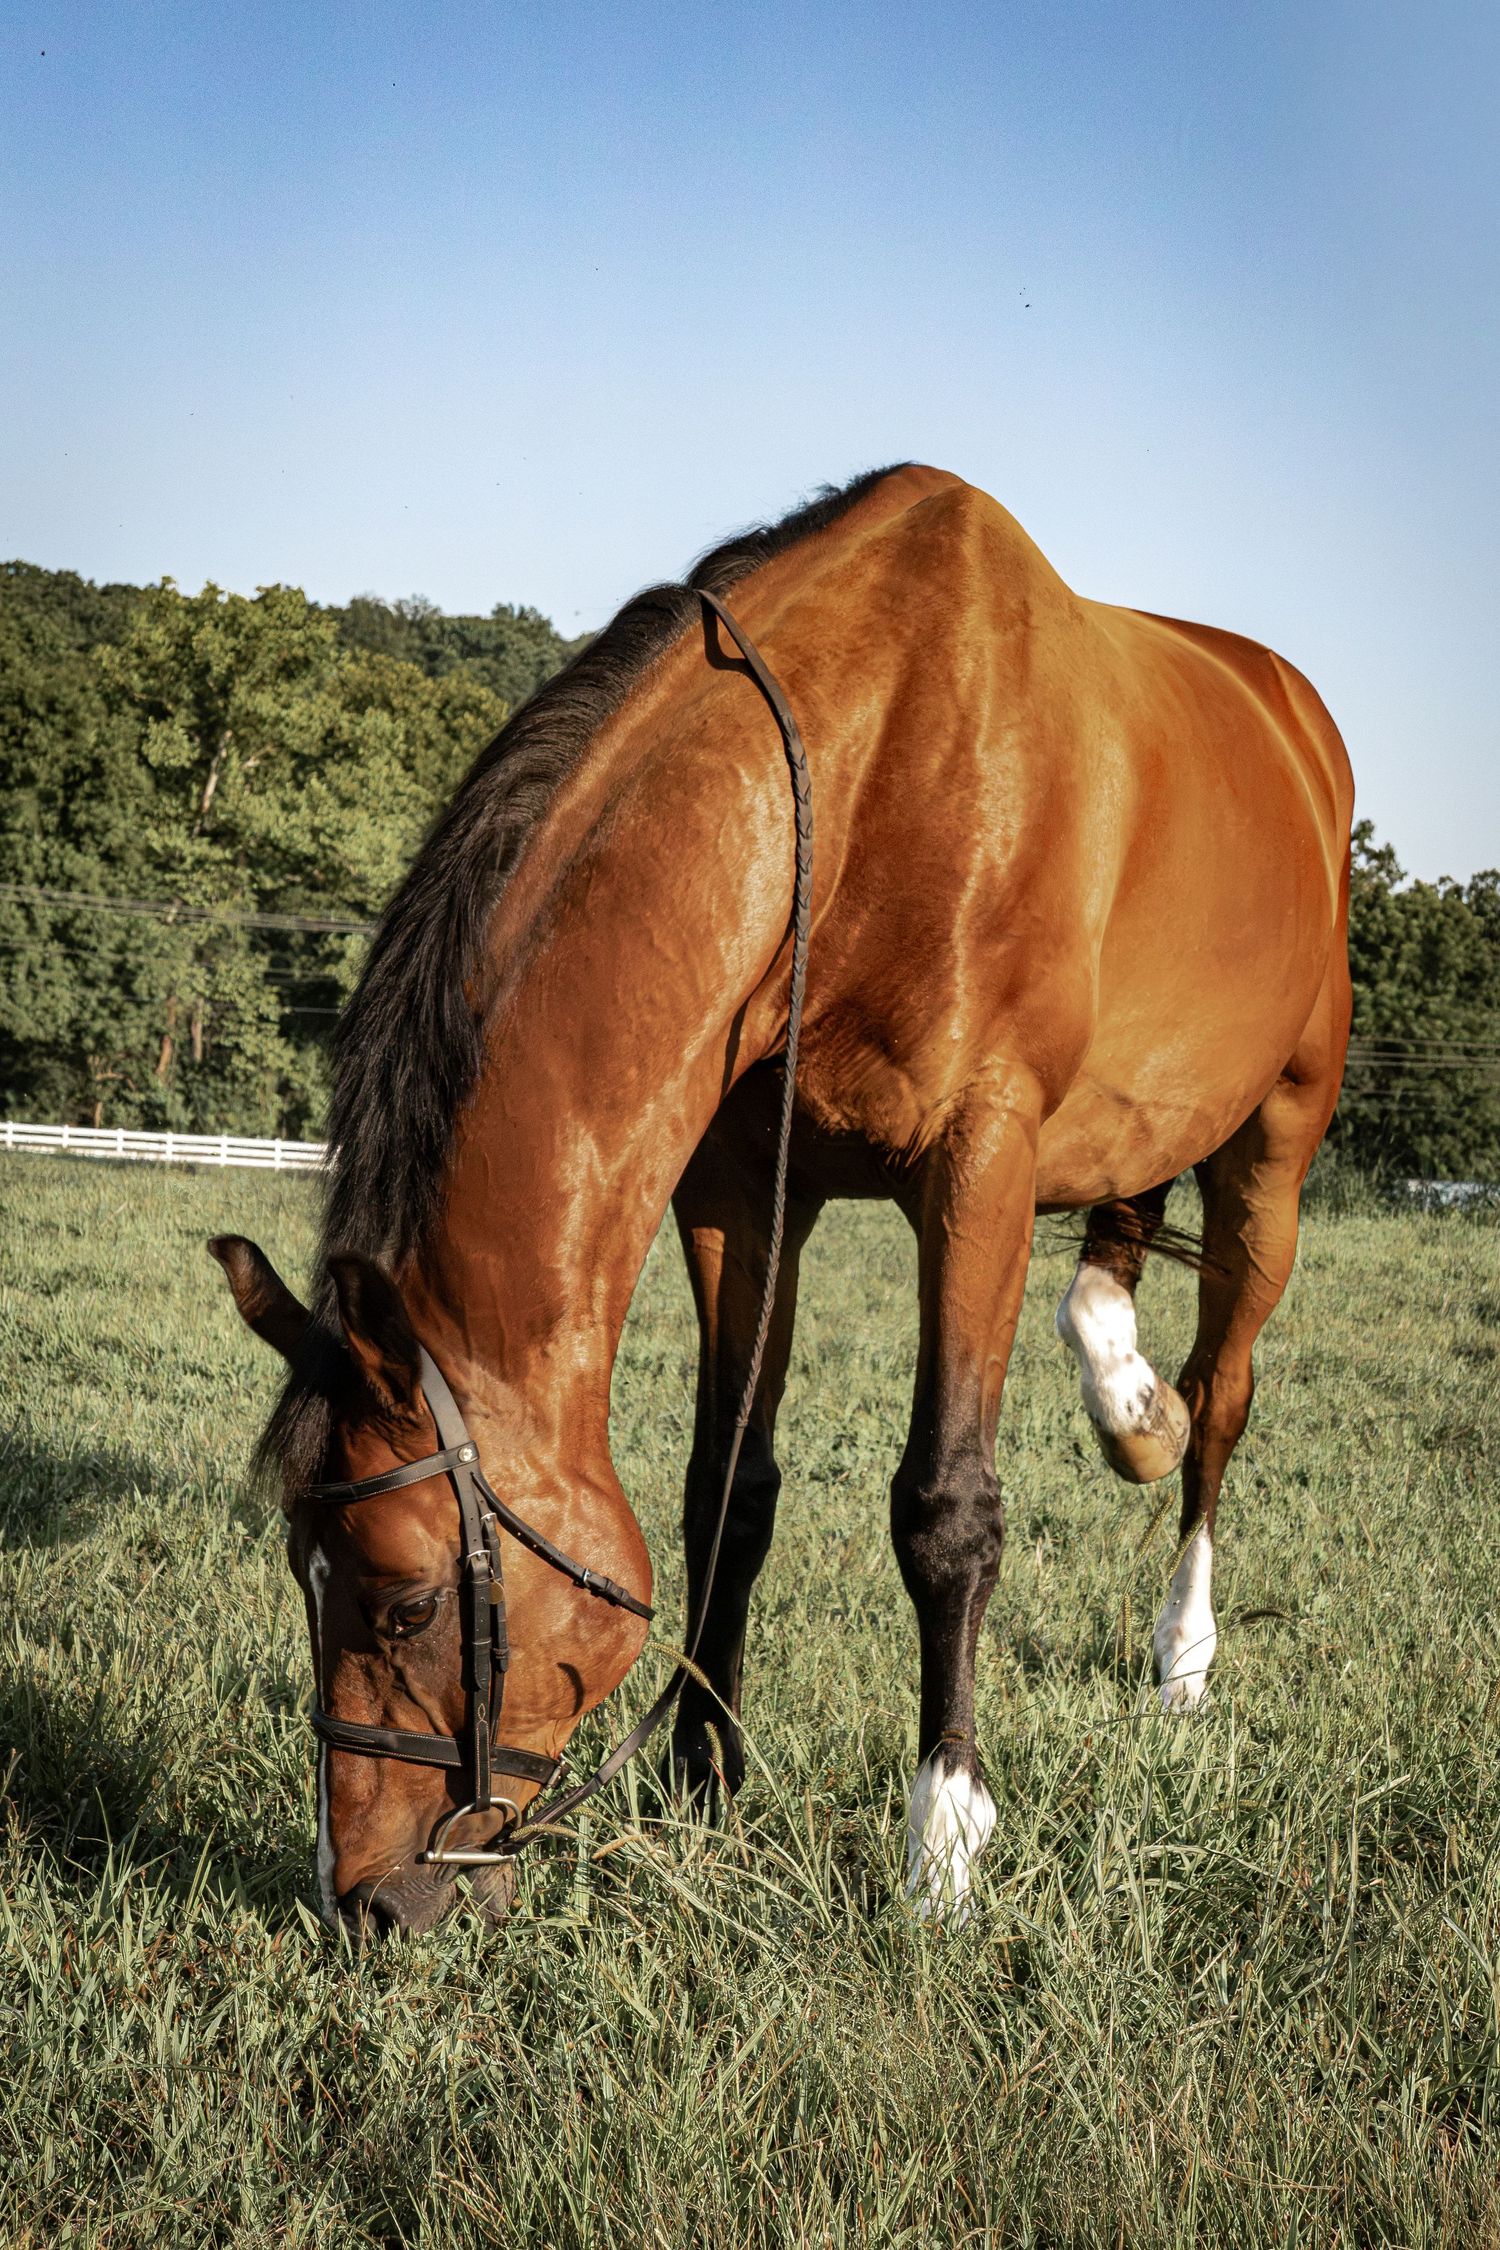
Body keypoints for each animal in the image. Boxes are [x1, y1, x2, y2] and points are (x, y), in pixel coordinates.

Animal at [211, 463, 1353, 1934]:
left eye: (405, 1602)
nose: (360, 1900)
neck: (871, 767)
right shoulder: (743, 1191)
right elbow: (727, 1493)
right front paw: (704, 1783)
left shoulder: (979, 1167)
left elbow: (947, 1509)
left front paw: (943, 1843)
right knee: (1122, 1250)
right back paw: (1126, 1399)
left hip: (1277, 1142)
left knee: (1226, 1403)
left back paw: (1184, 1647)